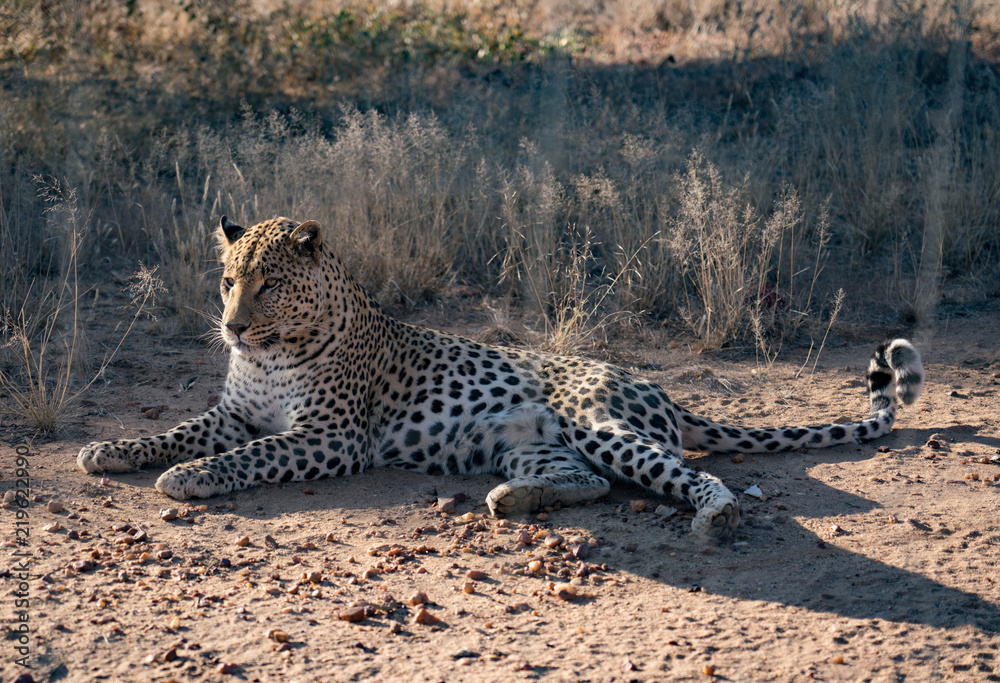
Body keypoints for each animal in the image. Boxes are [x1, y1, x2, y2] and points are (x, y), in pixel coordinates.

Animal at [77, 216, 925, 539]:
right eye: (227, 280)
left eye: (269, 285)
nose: (230, 325)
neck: (271, 351)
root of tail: (658, 387)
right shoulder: (234, 412)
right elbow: (180, 429)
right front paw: (110, 451)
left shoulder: (328, 437)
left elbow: (245, 455)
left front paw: (191, 477)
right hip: (531, 441)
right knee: (591, 481)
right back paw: (512, 498)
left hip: (599, 423)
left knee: (686, 475)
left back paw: (717, 517)